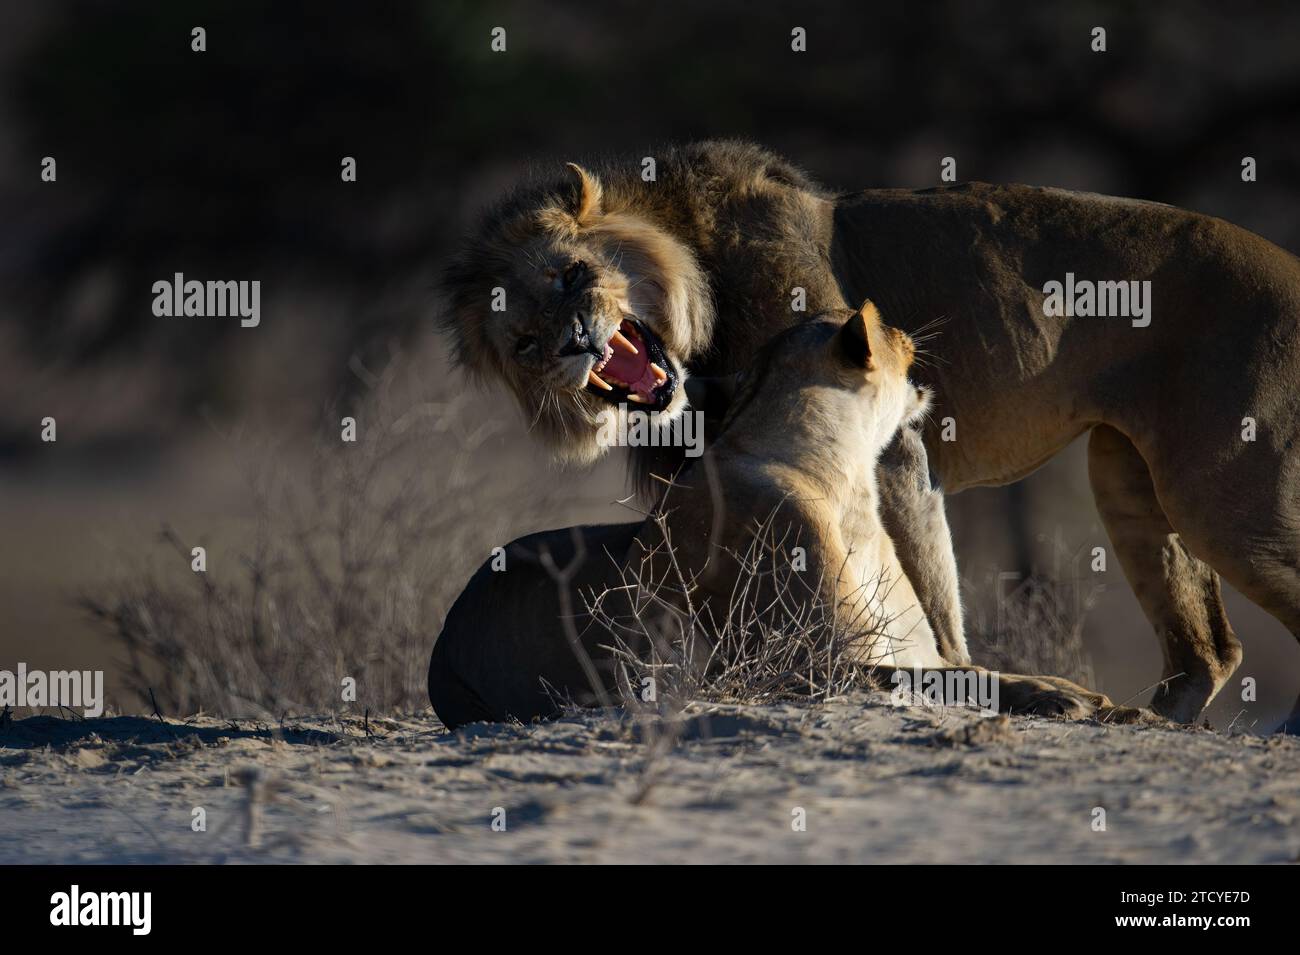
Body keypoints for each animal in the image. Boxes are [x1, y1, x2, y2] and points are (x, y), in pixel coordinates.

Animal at [431, 302, 1123, 727]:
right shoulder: (808, 670)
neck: (852, 486)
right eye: (892, 332)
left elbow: (981, 669)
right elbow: (955, 681)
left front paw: (1081, 695)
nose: (913, 336)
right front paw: (1070, 696)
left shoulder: (912, 651)